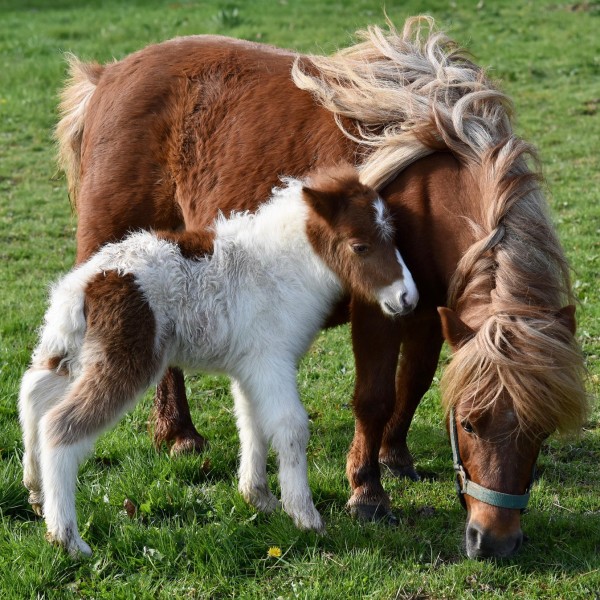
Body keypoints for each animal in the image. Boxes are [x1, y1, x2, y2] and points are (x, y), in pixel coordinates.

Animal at [16, 165, 414, 556]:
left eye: (393, 236)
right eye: (359, 246)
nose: (407, 297)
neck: (280, 268)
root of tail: (83, 286)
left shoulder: (250, 369)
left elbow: (251, 423)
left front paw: (258, 498)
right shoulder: (273, 361)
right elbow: (291, 427)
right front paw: (305, 516)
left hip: (69, 349)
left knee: (33, 391)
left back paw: (35, 491)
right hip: (126, 361)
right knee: (59, 426)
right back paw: (67, 538)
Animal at [56, 16, 584, 556]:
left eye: (542, 432)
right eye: (469, 423)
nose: (494, 541)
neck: (428, 192)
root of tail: (108, 76)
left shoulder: (431, 309)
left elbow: (414, 382)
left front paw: (396, 455)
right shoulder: (379, 310)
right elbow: (374, 397)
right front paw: (368, 493)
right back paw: (179, 434)